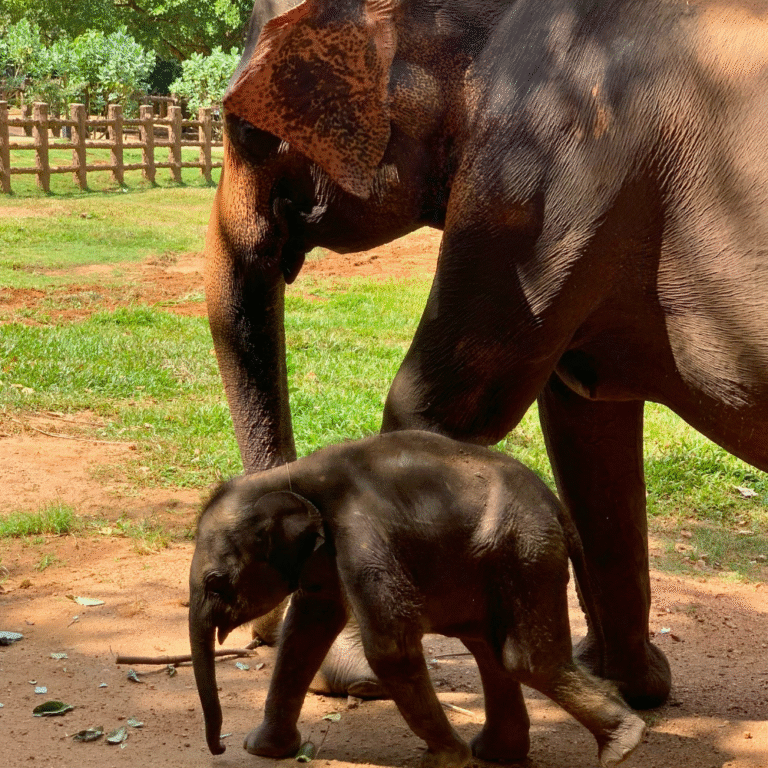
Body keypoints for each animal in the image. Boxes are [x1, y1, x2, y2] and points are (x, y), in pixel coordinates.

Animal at [189, 431, 647, 768]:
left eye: (215, 582)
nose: (220, 747)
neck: (292, 475)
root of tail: (556, 505)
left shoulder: (361, 534)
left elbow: (389, 646)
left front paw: (445, 760)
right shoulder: (326, 553)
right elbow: (308, 628)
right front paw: (262, 750)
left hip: (525, 553)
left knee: (525, 660)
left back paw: (624, 747)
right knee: (488, 649)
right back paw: (499, 753)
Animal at [205, 0, 768, 709]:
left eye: (246, 130)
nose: (258, 630)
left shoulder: (541, 182)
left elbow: (438, 406)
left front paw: (352, 670)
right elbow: (586, 427)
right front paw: (627, 686)